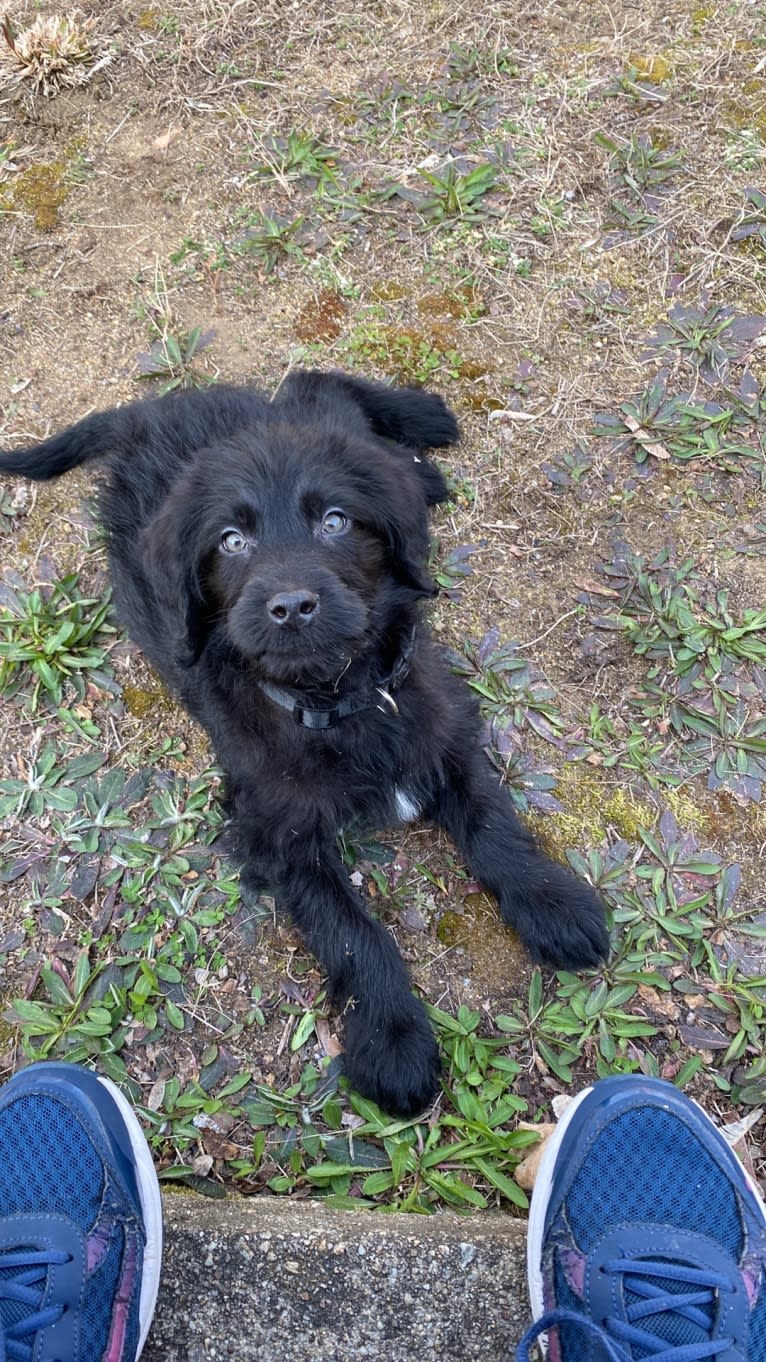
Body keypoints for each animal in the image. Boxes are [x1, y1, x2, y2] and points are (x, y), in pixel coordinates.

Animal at [0, 367, 607, 1111]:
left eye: (335, 522)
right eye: (231, 540)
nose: (291, 606)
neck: (338, 700)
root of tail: (151, 411)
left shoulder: (446, 732)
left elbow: (495, 827)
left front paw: (553, 905)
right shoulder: (279, 834)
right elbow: (352, 932)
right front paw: (393, 1039)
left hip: (323, 422)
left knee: (318, 382)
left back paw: (424, 434)